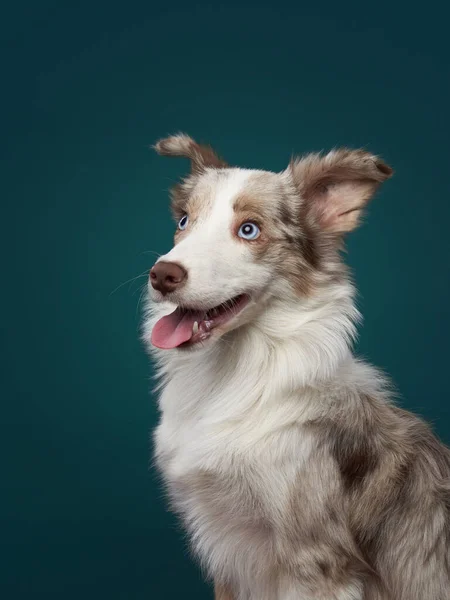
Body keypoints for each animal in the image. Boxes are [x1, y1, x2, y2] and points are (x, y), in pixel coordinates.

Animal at [144, 134, 450, 596]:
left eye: (249, 230)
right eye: (183, 221)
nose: (162, 275)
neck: (232, 378)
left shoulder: (315, 559)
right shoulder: (225, 554)